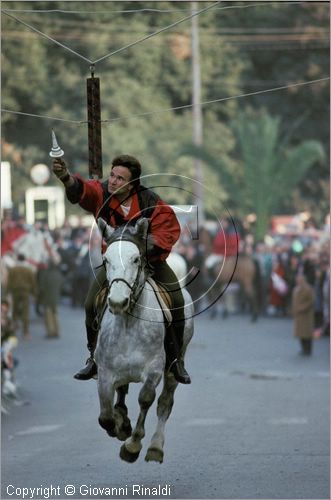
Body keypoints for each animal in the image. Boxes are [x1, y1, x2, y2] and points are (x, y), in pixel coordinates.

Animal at [94, 220, 195, 464]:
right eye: (106, 260)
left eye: (135, 259)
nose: (117, 301)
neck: (129, 322)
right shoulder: (105, 372)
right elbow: (105, 417)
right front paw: (120, 426)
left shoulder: (154, 369)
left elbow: (146, 399)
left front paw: (132, 445)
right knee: (121, 393)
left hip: (174, 367)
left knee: (165, 403)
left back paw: (156, 446)